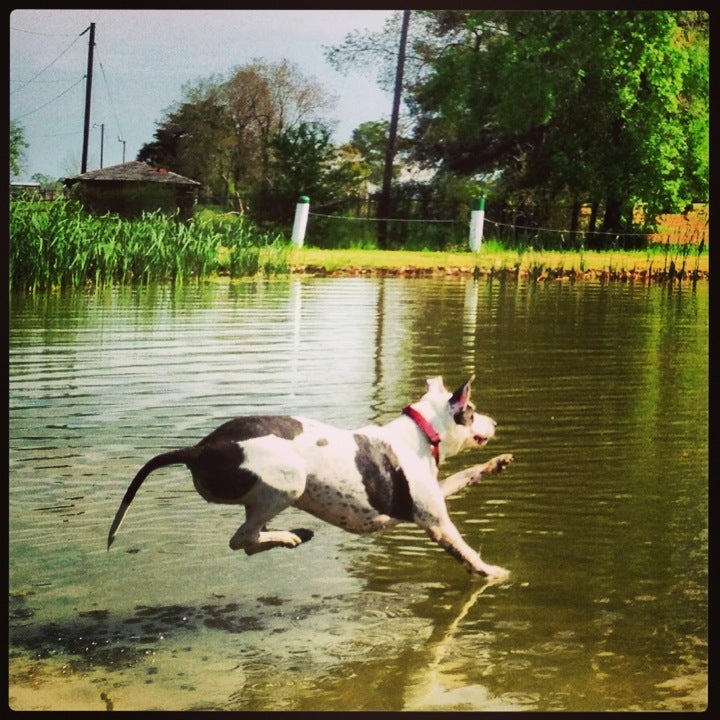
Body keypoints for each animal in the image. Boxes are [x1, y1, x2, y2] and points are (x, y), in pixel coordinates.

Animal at [107, 376, 512, 580]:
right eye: (473, 411)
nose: (495, 422)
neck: (421, 433)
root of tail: (201, 448)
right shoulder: (437, 524)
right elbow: (466, 552)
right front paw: (491, 572)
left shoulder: (431, 498)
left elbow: (464, 475)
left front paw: (495, 464)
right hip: (288, 482)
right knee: (241, 540)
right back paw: (290, 535)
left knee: (248, 542)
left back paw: (292, 535)